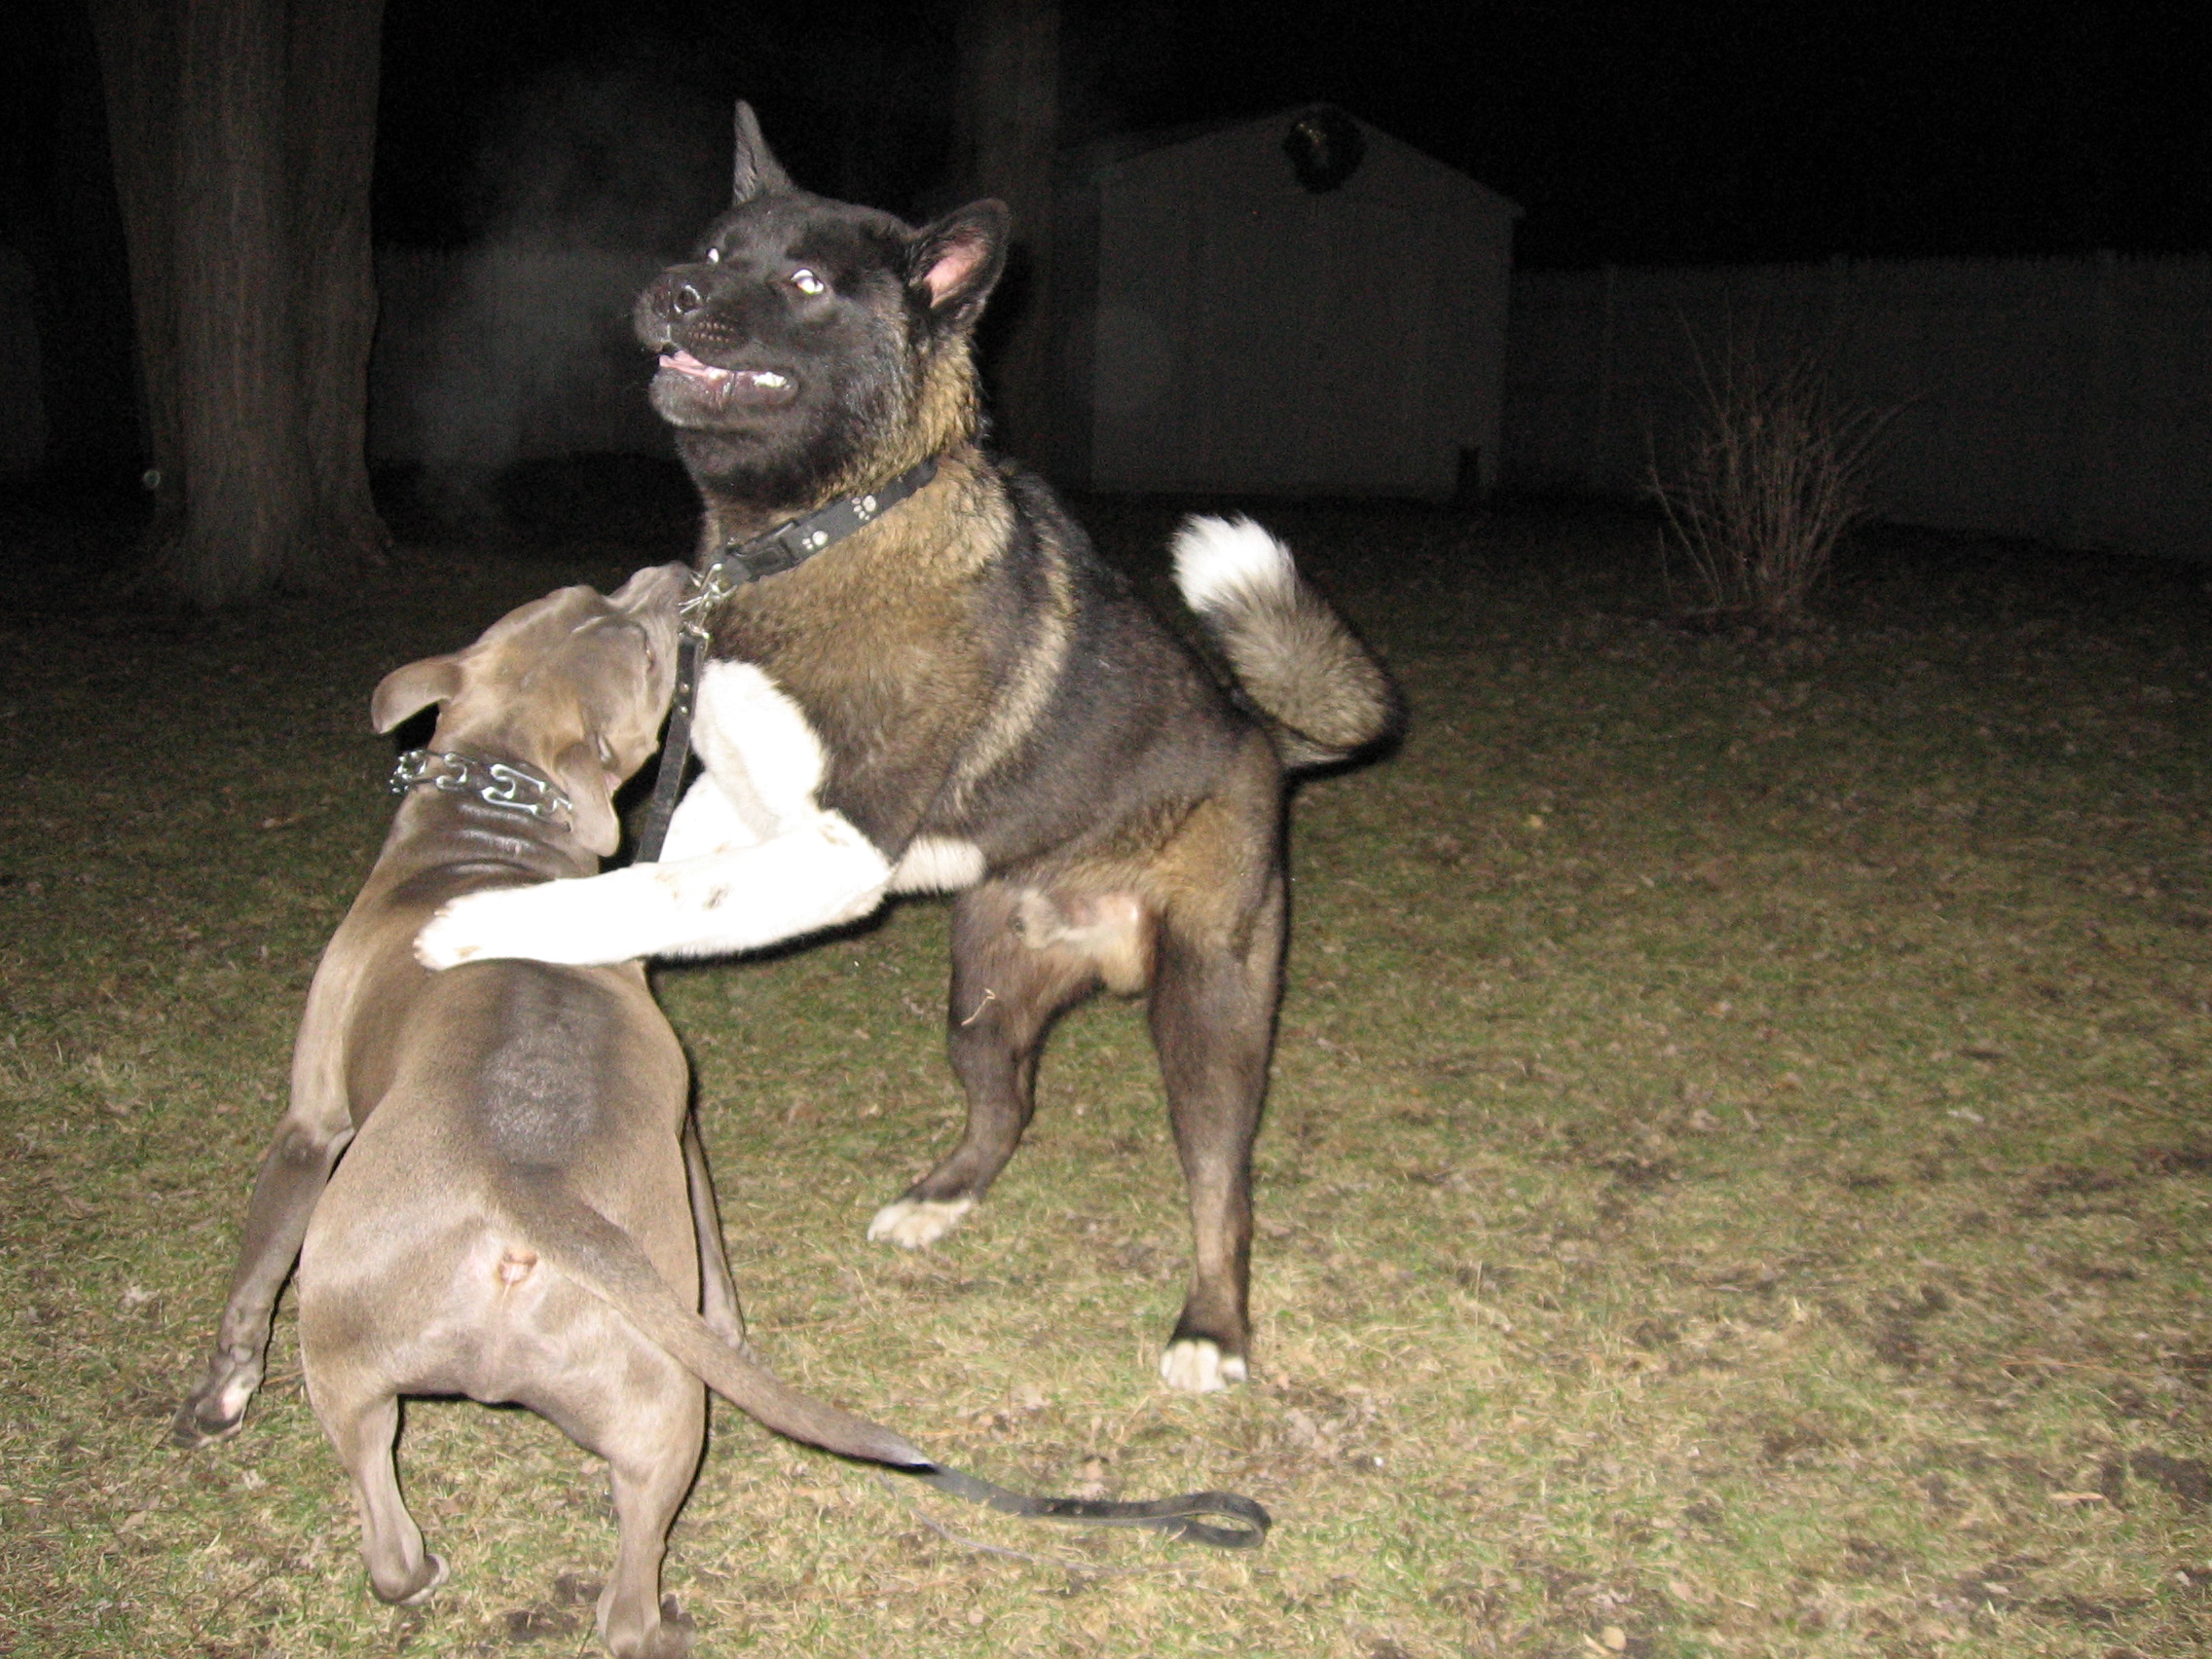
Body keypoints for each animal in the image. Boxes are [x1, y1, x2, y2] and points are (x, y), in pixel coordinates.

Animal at [172, 568, 932, 1658]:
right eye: (630, 634)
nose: (672, 577)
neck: (492, 837)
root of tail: (519, 1191)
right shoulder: (682, 1132)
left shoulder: (309, 1126)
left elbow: (251, 1277)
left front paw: (219, 1395)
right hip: (631, 1407)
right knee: (566, 1589)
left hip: (376, 1369)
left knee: (409, 1549)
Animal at [412, 103, 1401, 1395]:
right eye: (716, 248)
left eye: (805, 282)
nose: (673, 289)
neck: (808, 532)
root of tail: (1258, 737)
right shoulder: (738, 799)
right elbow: (658, 872)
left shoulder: (837, 853)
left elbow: (646, 891)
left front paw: (490, 921)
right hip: (981, 995)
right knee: (1007, 1106)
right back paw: (942, 1197)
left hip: (1210, 1015)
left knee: (1221, 1186)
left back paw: (1210, 1328)